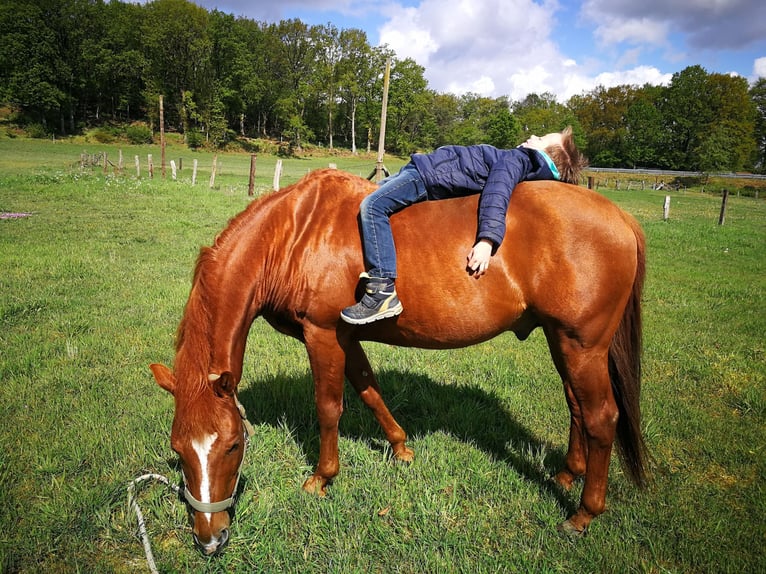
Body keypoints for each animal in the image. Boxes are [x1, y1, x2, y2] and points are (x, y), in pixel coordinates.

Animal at [150, 169, 648, 556]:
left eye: (233, 445)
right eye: (178, 450)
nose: (209, 539)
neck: (295, 233)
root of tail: (622, 218)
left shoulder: (322, 334)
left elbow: (329, 407)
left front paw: (321, 479)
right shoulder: (346, 336)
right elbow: (368, 387)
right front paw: (401, 447)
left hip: (581, 346)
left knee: (601, 417)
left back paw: (584, 514)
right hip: (562, 341)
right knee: (577, 406)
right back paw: (567, 475)